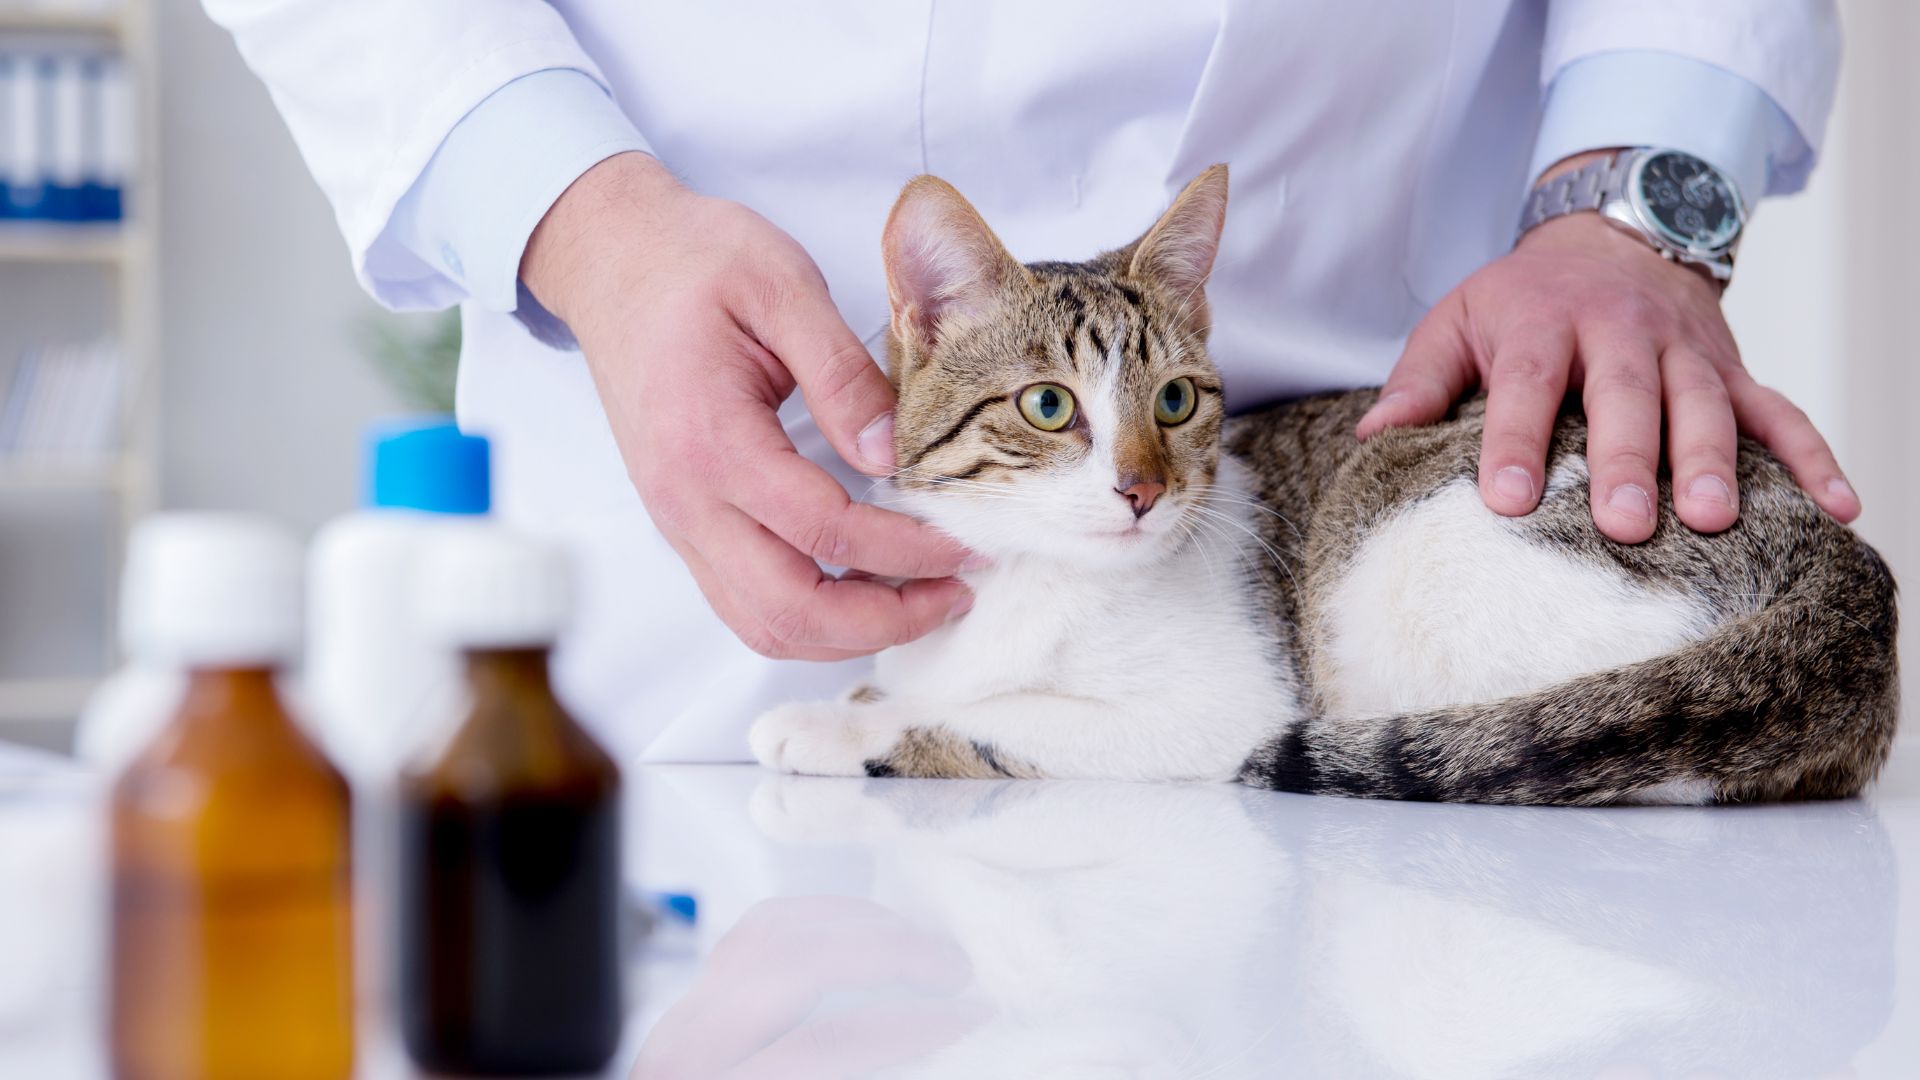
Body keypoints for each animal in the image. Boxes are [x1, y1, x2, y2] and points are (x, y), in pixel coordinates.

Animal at [741, 161, 1896, 799]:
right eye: (1049, 407)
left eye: (1174, 401)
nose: (1141, 491)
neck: (1026, 582)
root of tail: (1850, 571)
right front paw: (856, 694)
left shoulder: (1220, 713)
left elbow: (999, 716)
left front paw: (841, 726)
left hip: (1415, 561)